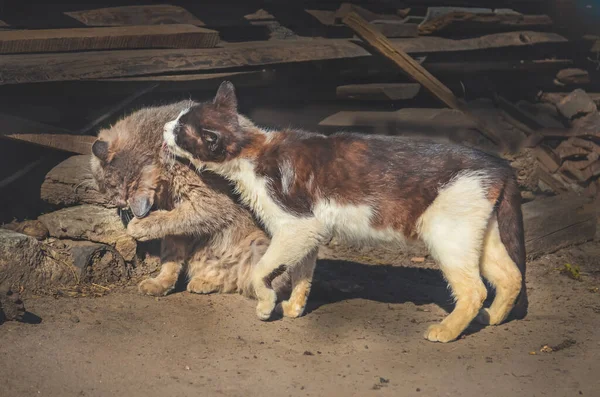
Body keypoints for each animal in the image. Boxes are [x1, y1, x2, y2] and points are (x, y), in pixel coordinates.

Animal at [89, 100, 304, 306]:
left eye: (117, 196)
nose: (120, 208)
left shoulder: (211, 203)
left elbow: (170, 219)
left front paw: (140, 225)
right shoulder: (178, 226)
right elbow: (171, 252)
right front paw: (161, 282)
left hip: (262, 247)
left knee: (249, 283)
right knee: (233, 279)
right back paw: (205, 280)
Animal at [163, 80, 524, 340]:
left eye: (181, 130)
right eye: (177, 121)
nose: (165, 127)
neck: (254, 151)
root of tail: (499, 163)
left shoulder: (296, 225)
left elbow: (259, 270)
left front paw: (266, 306)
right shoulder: (309, 230)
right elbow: (302, 272)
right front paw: (294, 306)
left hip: (446, 234)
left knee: (475, 289)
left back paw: (447, 331)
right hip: (478, 234)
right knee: (511, 276)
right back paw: (493, 318)